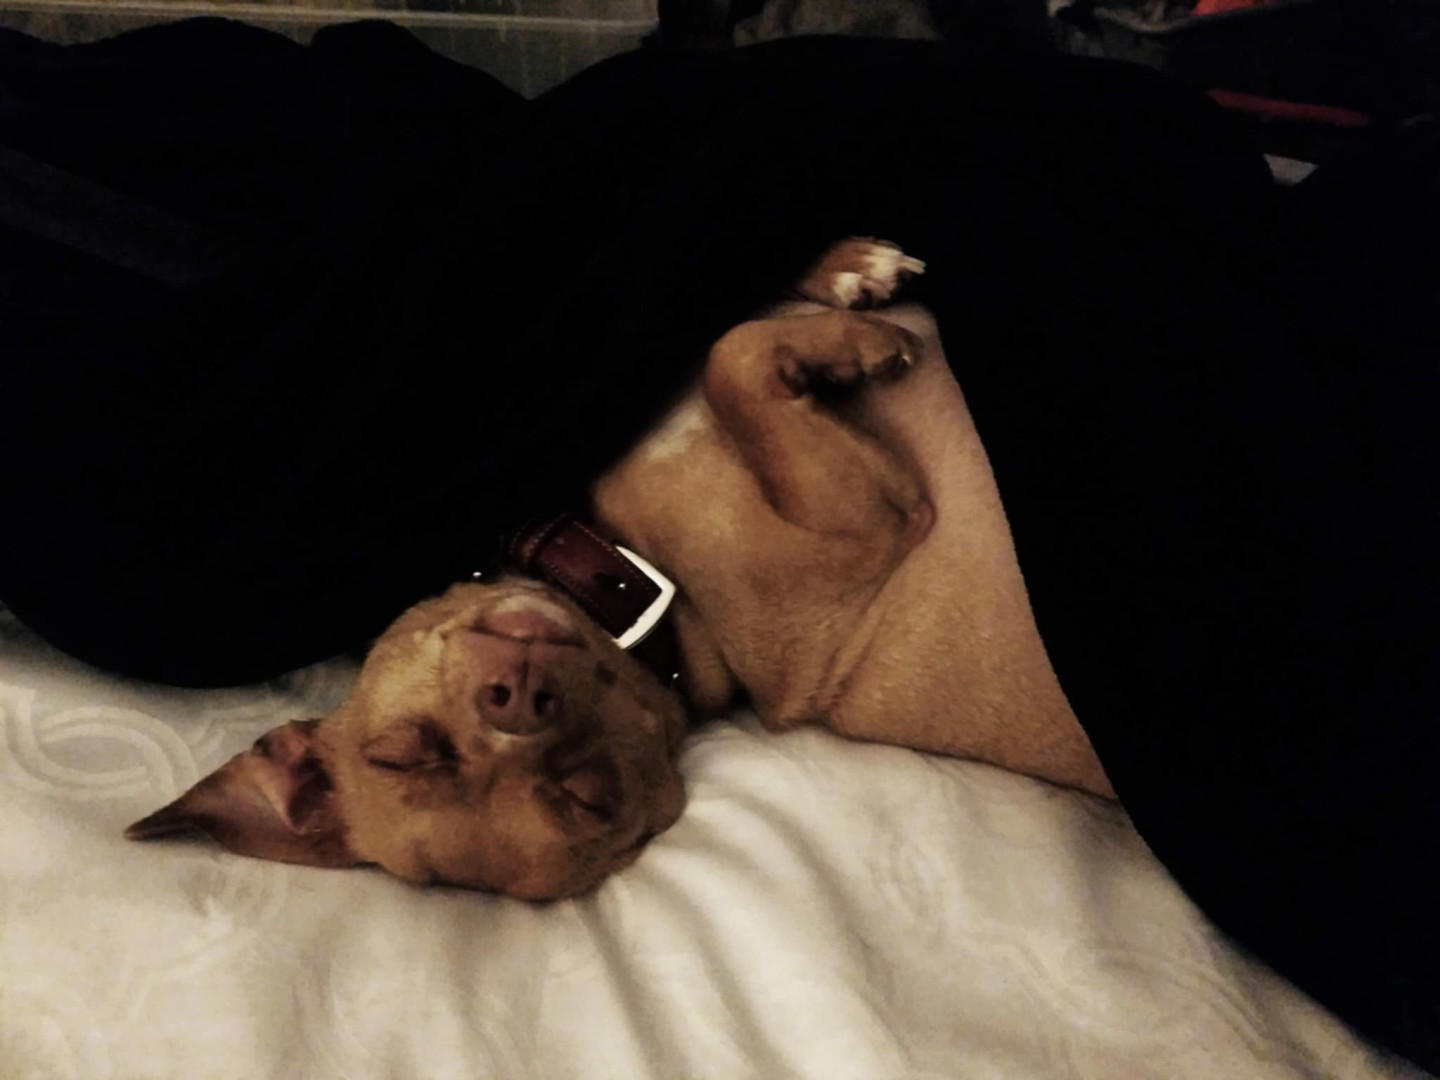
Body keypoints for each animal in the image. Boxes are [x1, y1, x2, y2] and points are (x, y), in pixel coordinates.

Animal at [127, 239, 1113, 898]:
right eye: (588, 801)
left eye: (396, 752)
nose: (516, 696)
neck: (643, 584)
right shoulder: (868, 517)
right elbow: (733, 361)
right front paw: (851, 341)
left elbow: (728, 336)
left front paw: (843, 271)